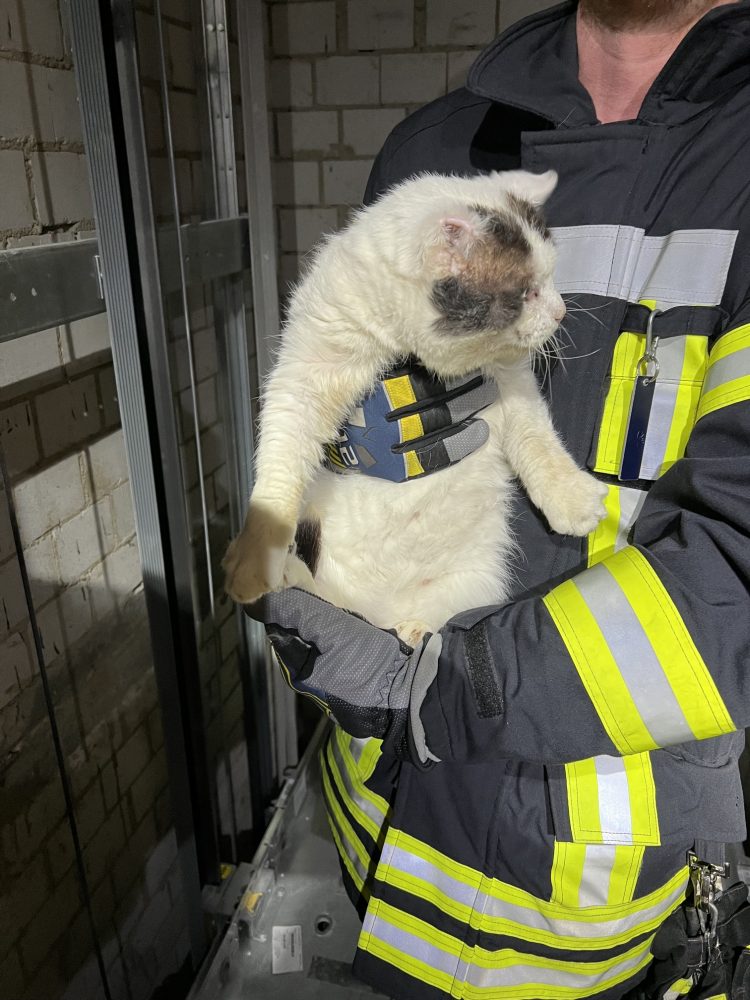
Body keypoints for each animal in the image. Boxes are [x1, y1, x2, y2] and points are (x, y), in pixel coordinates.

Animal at [223, 169, 607, 645]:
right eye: (527, 293)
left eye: (552, 279)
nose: (560, 312)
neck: (403, 347)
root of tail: (377, 616)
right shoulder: (306, 370)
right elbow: (281, 456)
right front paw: (257, 552)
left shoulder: (510, 378)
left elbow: (535, 436)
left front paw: (571, 499)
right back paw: (296, 576)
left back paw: (414, 630)